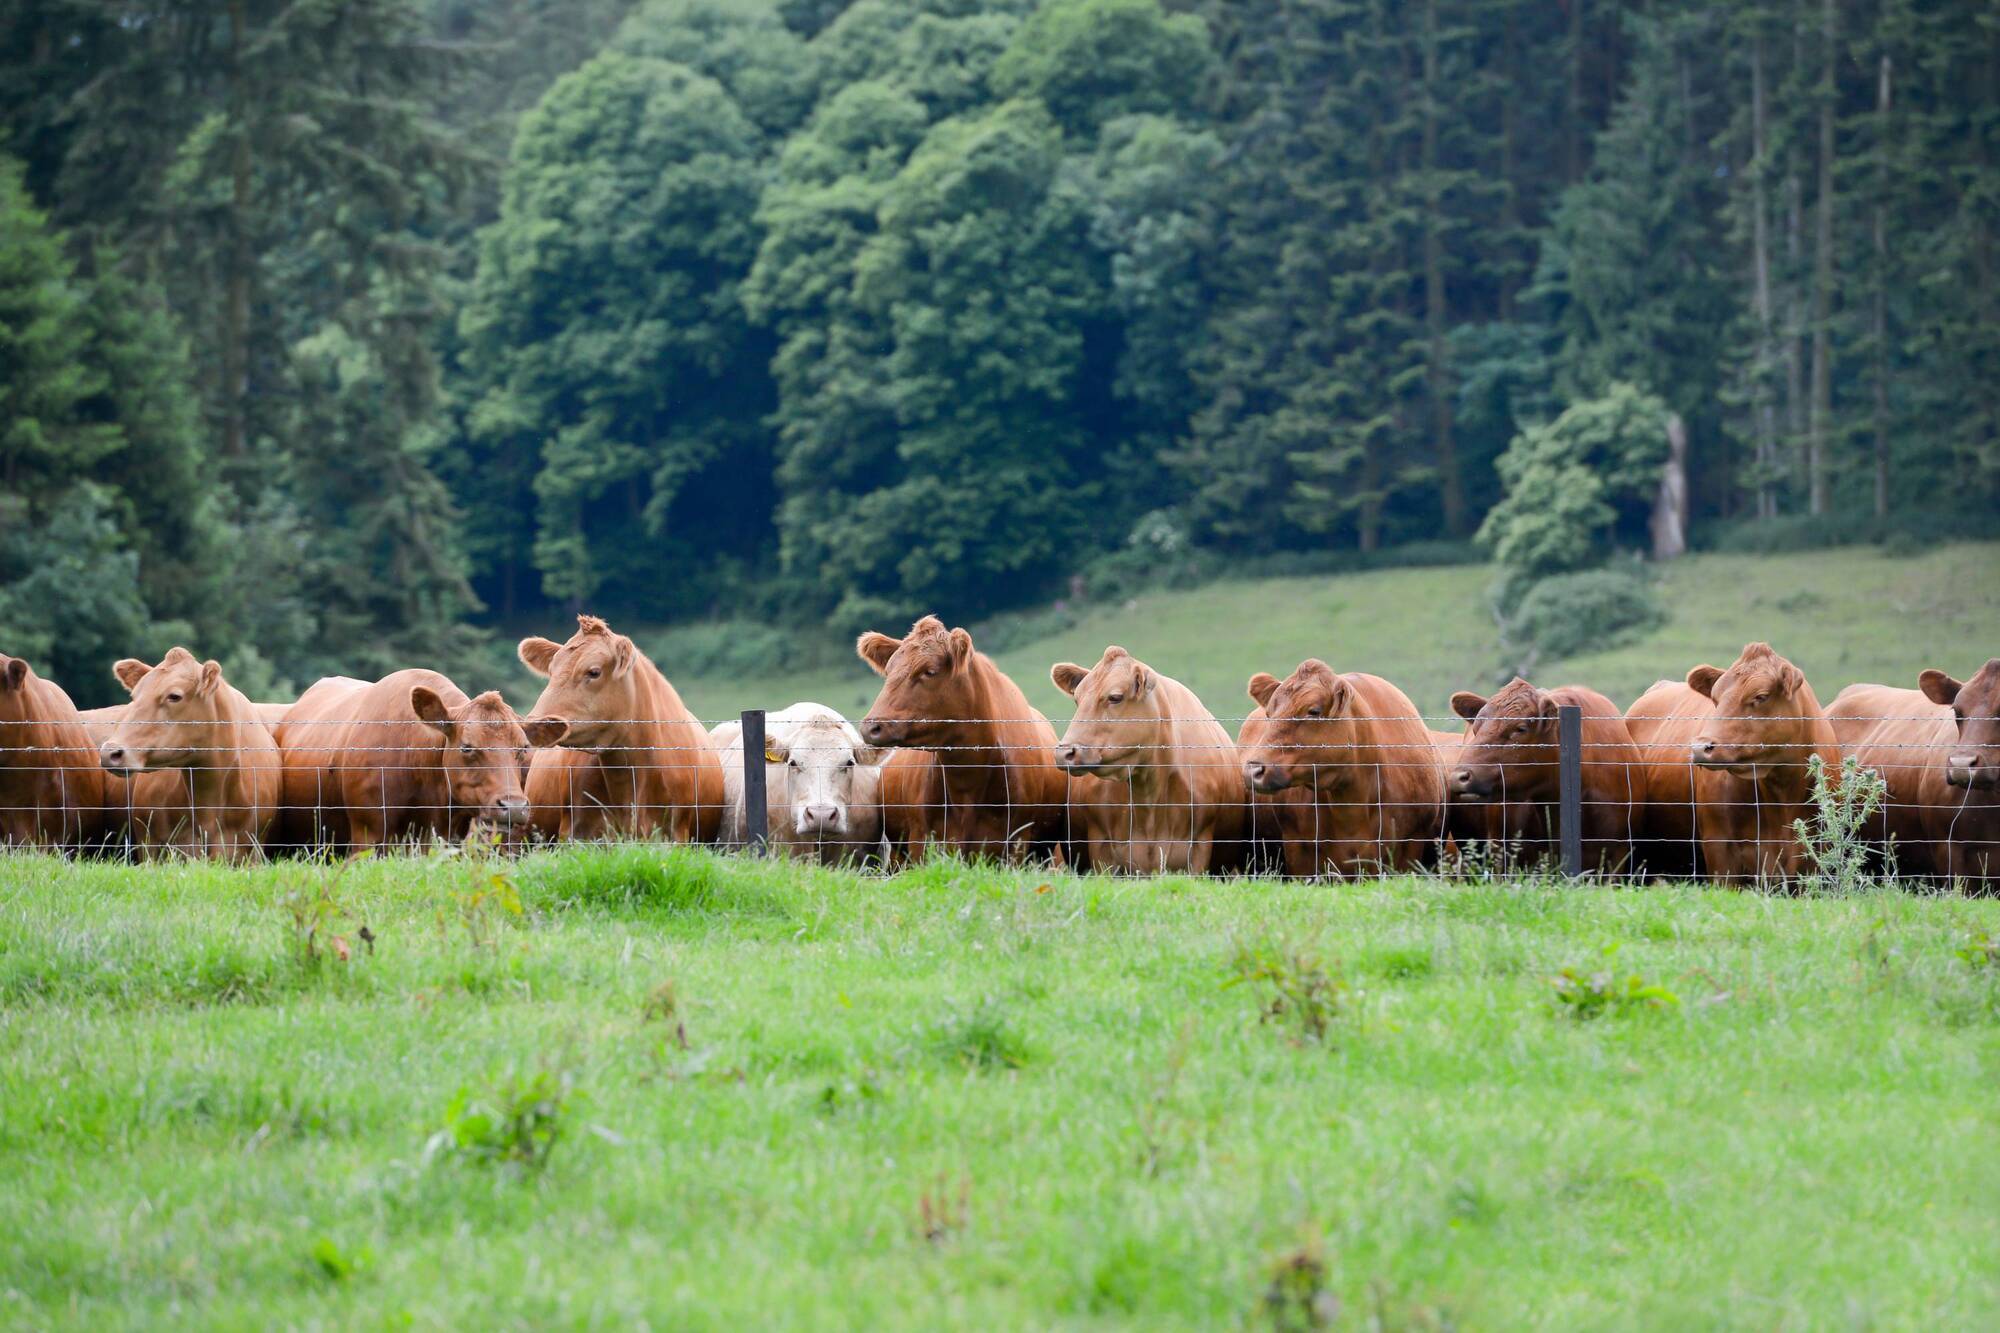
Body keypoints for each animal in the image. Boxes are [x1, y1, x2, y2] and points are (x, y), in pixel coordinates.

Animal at [856, 616, 1076, 864]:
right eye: (889, 670)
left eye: (929, 671)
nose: (871, 727)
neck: (967, 781)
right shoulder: (921, 842)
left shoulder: (1016, 844)